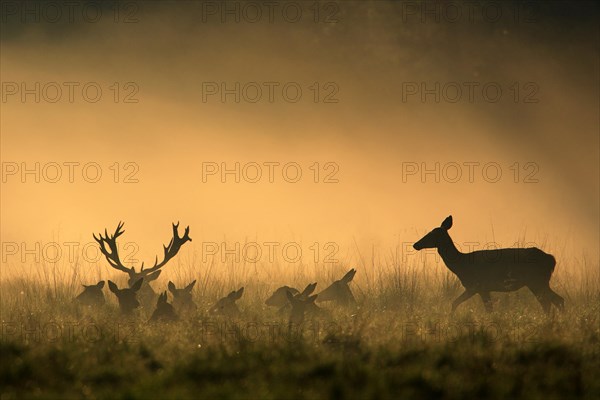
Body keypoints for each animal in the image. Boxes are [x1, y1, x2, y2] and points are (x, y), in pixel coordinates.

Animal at [414, 217, 564, 314]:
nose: (415, 244)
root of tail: (551, 259)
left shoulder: (478, 286)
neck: (461, 264)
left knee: (552, 301)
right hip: (539, 282)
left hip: (537, 281)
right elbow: (456, 303)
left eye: (432, 234)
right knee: (555, 300)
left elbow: (484, 309)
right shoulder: (479, 288)